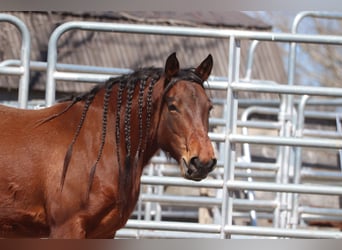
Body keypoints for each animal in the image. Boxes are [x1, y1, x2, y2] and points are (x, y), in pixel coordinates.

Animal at [0, 52, 215, 238]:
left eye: (210, 107)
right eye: (172, 106)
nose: (202, 162)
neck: (96, 146)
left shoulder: (105, 232)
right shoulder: (66, 228)